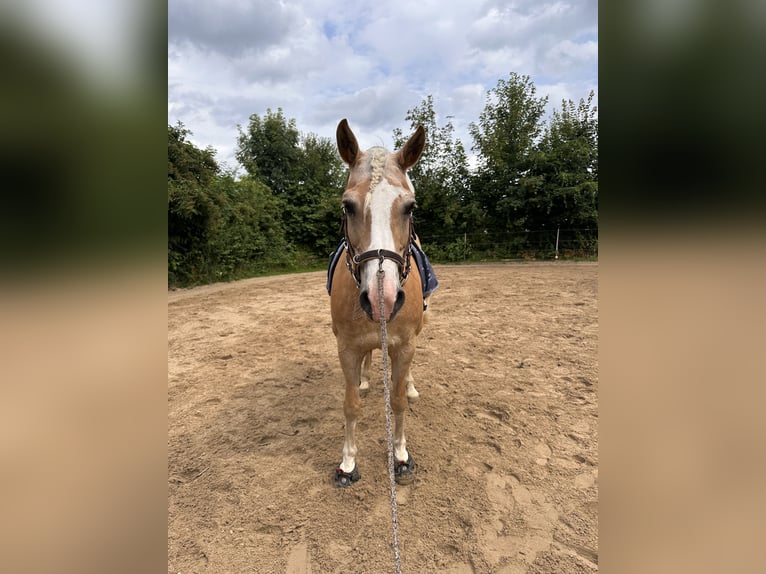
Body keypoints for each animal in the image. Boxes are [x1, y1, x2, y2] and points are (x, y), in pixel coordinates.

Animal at [329, 118, 430, 487]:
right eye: (348, 206)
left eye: (410, 207)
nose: (381, 298)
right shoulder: (346, 347)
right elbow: (350, 404)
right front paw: (347, 463)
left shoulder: (405, 345)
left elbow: (397, 401)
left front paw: (400, 456)